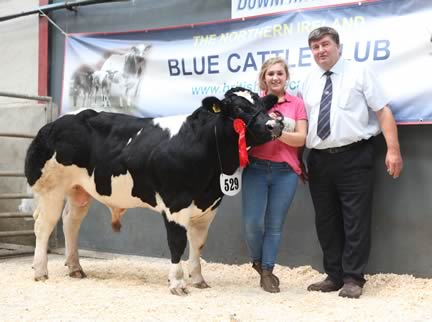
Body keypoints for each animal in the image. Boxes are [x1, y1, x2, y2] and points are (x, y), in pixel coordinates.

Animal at [25, 87, 282, 296]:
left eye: (263, 105)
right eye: (239, 108)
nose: (275, 124)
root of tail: (52, 124)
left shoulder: (208, 207)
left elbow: (198, 244)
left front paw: (198, 279)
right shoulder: (175, 204)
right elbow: (177, 243)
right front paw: (177, 284)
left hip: (79, 190)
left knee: (70, 222)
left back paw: (75, 268)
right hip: (51, 188)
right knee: (43, 225)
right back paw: (40, 271)